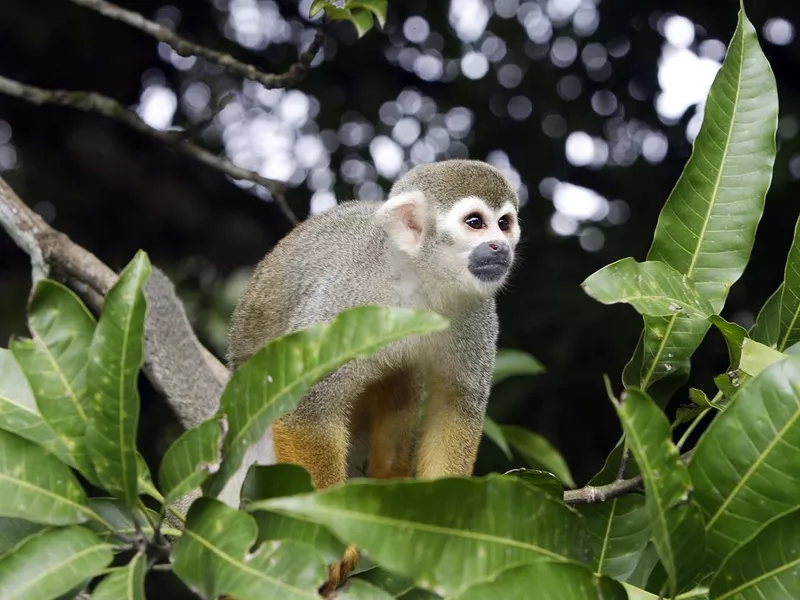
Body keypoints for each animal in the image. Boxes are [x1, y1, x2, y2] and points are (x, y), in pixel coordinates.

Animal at [228, 157, 520, 588]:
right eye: (475, 223)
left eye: (505, 222)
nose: (501, 246)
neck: (418, 281)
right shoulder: (348, 301)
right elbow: (306, 409)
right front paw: (327, 536)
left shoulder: (478, 312)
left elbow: (455, 408)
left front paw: (443, 527)